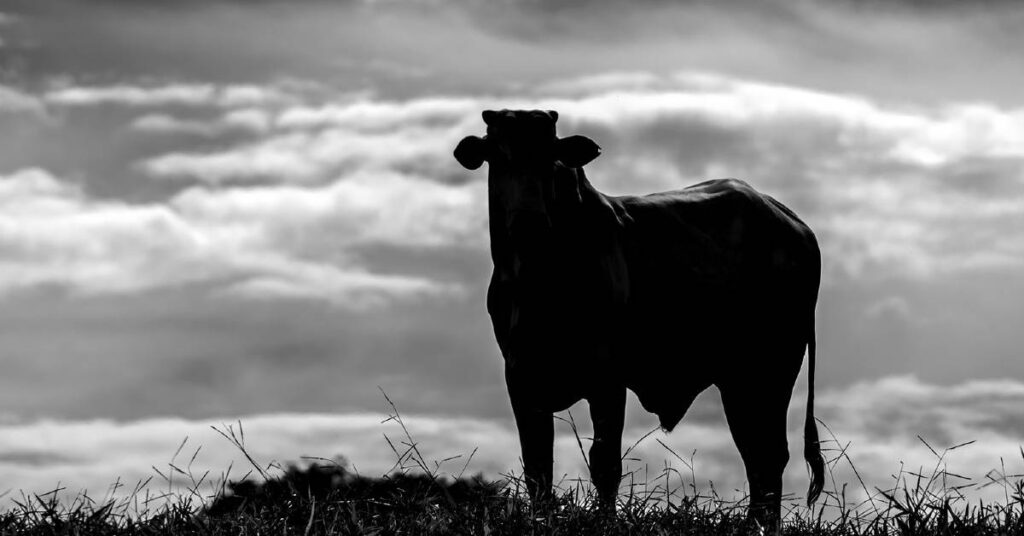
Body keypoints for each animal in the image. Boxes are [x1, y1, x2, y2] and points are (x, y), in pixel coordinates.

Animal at [452, 110, 827, 532]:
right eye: (497, 156)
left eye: (552, 158)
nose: (528, 222)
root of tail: (792, 222)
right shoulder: (520, 377)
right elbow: (537, 467)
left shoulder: (607, 378)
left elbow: (604, 464)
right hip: (742, 381)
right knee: (757, 455)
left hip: (770, 369)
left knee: (769, 455)